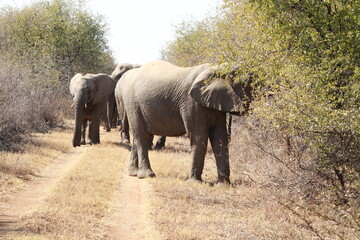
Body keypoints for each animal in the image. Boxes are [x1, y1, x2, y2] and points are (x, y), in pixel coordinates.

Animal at [114, 61, 252, 183]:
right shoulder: (192, 104)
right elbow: (199, 136)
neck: (217, 67)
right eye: (248, 83)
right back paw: (147, 175)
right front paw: (194, 182)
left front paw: (223, 184)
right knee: (141, 135)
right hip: (133, 104)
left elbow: (219, 137)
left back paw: (133, 173)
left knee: (139, 136)